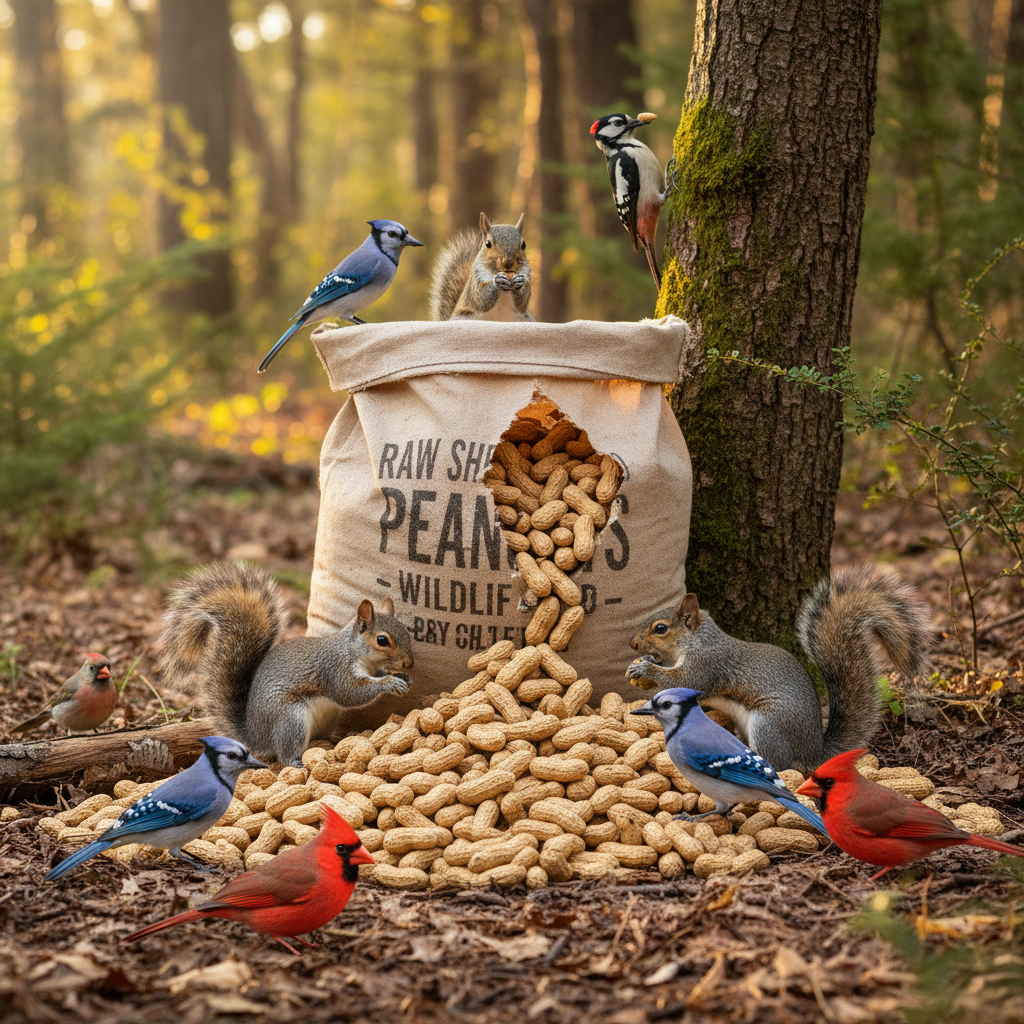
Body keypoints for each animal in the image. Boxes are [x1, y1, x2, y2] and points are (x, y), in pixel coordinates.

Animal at [158, 561, 414, 767]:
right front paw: (390, 683)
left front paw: (403, 678)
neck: (355, 653)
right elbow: (350, 693)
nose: (409, 664)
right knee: (283, 753)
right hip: (291, 718)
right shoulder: (334, 669)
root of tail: (255, 737)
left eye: (406, 632)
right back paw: (295, 762)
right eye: (382, 640)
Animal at [626, 565, 932, 774]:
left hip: (770, 725)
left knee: (780, 765)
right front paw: (641, 665)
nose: (633, 643)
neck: (698, 640)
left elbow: (686, 680)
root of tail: (813, 753)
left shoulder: (708, 664)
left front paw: (646, 671)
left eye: (661, 628)